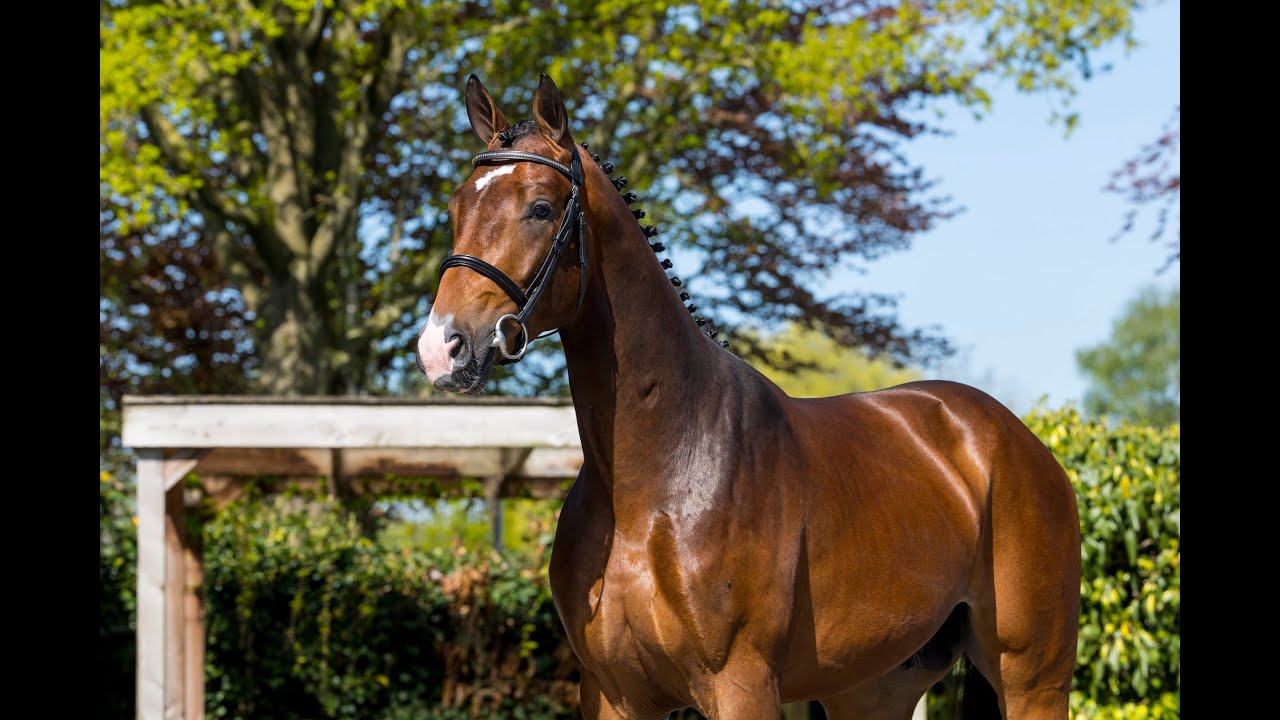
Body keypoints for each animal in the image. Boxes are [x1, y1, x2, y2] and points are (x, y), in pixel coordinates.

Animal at [416, 73, 1081, 719]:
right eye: (457, 205)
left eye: (540, 207)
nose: (441, 348)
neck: (657, 481)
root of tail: (1016, 443)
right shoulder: (612, 694)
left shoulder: (741, 683)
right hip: (876, 689)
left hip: (1033, 684)